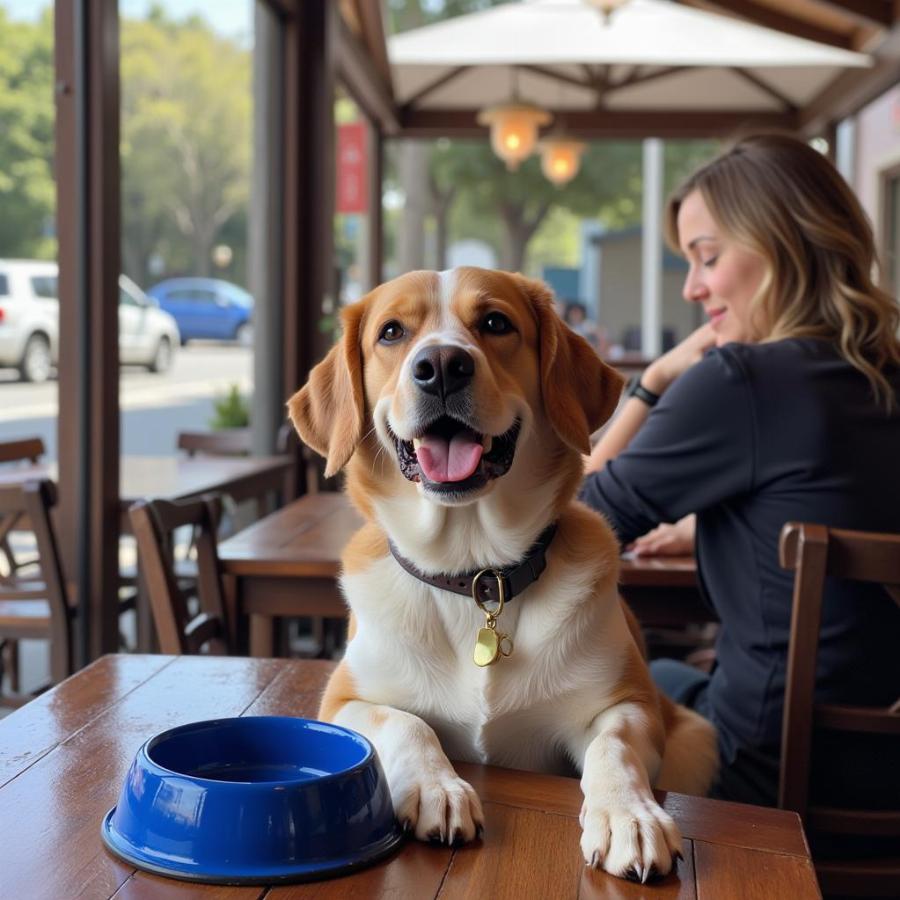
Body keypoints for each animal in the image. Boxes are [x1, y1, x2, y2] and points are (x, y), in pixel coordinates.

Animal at [288, 266, 716, 880]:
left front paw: (628, 815)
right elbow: (407, 723)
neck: (474, 574)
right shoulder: (345, 700)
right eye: (391, 332)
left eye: (495, 323)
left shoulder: (630, 707)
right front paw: (437, 787)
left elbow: (614, 748)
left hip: (698, 738)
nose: (442, 364)